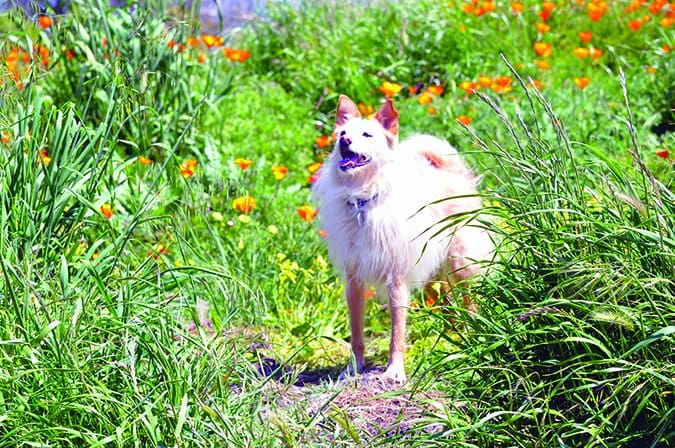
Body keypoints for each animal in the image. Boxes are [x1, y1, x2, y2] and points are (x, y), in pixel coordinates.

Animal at [312, 94, 492, 382]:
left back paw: (473, 336)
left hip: (461, 264)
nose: (344, 141)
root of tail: (455, 175)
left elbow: (397, 334)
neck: (364, 201)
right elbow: (357, 335)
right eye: (342, 133)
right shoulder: (354, 284)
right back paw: (452, 340)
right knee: (449, 304)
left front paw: (394, 371)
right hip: (433, 273)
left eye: (367, 135)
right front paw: (354, 368)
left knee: (470, 302)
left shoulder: (397, 282)